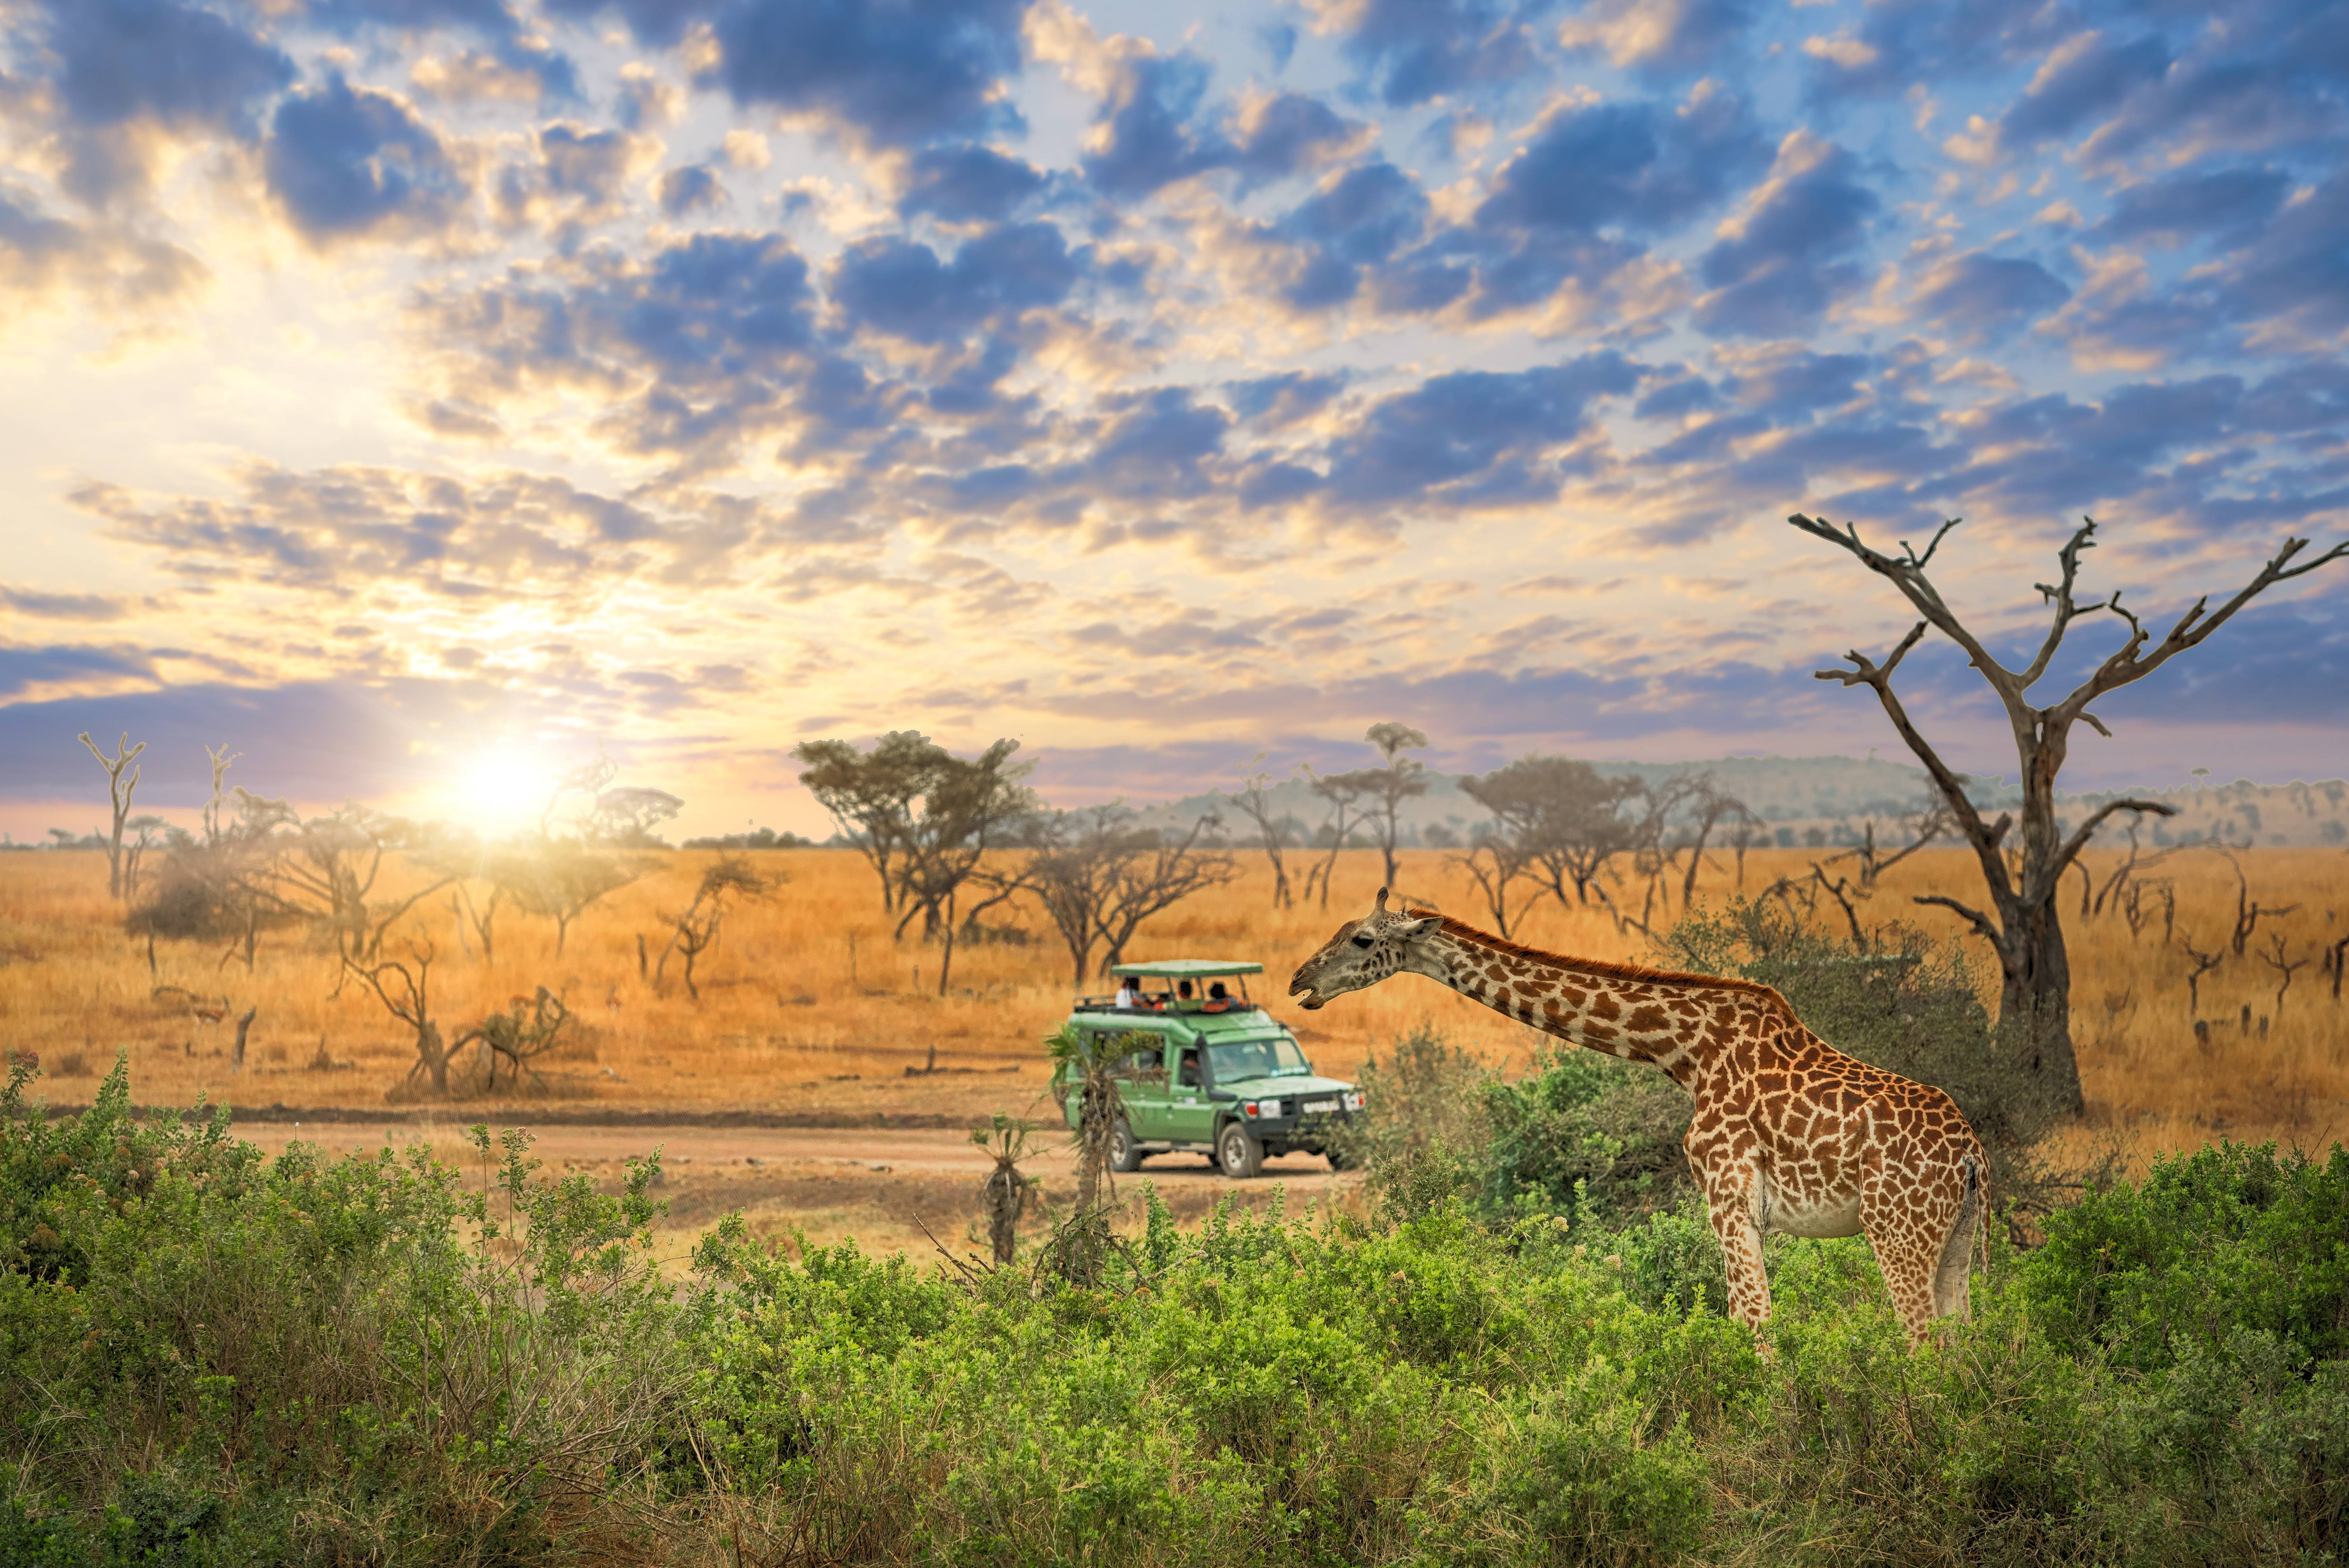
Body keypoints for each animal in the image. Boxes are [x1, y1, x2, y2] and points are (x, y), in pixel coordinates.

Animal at [1297, 887, 1992, 1343]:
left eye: (1362, 939)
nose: (1301, 980)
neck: (1686, 1052)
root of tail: (1971, 1156)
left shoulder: (1728, 1196)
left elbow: (1752, 1326)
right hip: (1955, 1238)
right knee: (1960, 1343)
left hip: (1895, 1231)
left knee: (1921, 1343)